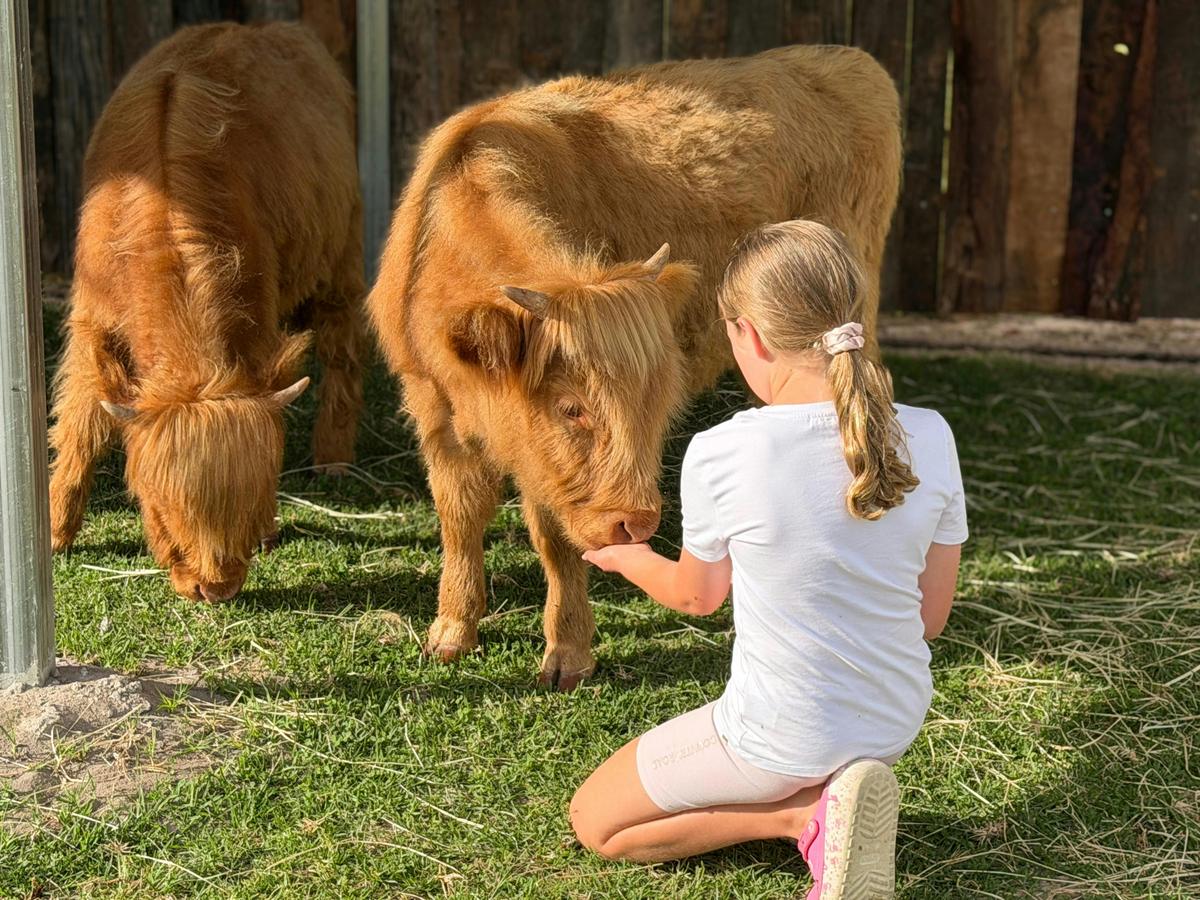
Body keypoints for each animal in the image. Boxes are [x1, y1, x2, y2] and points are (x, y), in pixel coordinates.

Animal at [48, 22, 364, 602]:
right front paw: (56, 531)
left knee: (342, 348)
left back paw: (332, 459)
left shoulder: (258, 328)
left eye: (253, 502)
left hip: (341, 255)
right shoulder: (91, 324)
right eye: (159, 509)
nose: (214, 588)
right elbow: (81, 424)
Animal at [367, 45, 902, 689]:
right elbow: (460, 518)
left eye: (656, 406)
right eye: (570, 407)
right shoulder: (434, 410)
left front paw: (567, 654)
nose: (636, 526)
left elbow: (555, 539)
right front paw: (451, 632)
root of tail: (845, 59)